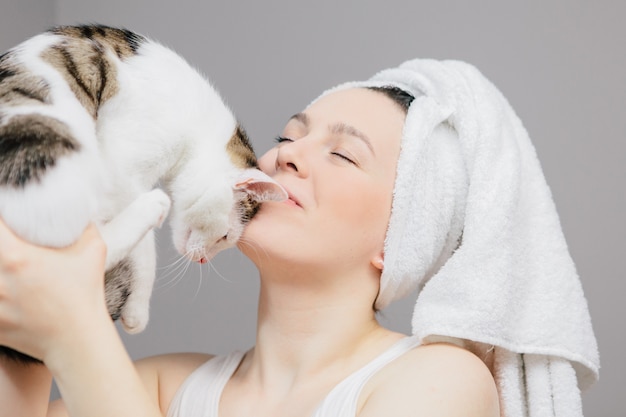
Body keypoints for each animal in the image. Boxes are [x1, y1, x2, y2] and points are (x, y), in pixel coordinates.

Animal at [0, 24, 286, 360]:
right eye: (227, 237)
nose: (204, 261)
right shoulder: (119, 165)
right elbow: (144, 248)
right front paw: (137, 307)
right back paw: (154, 204)